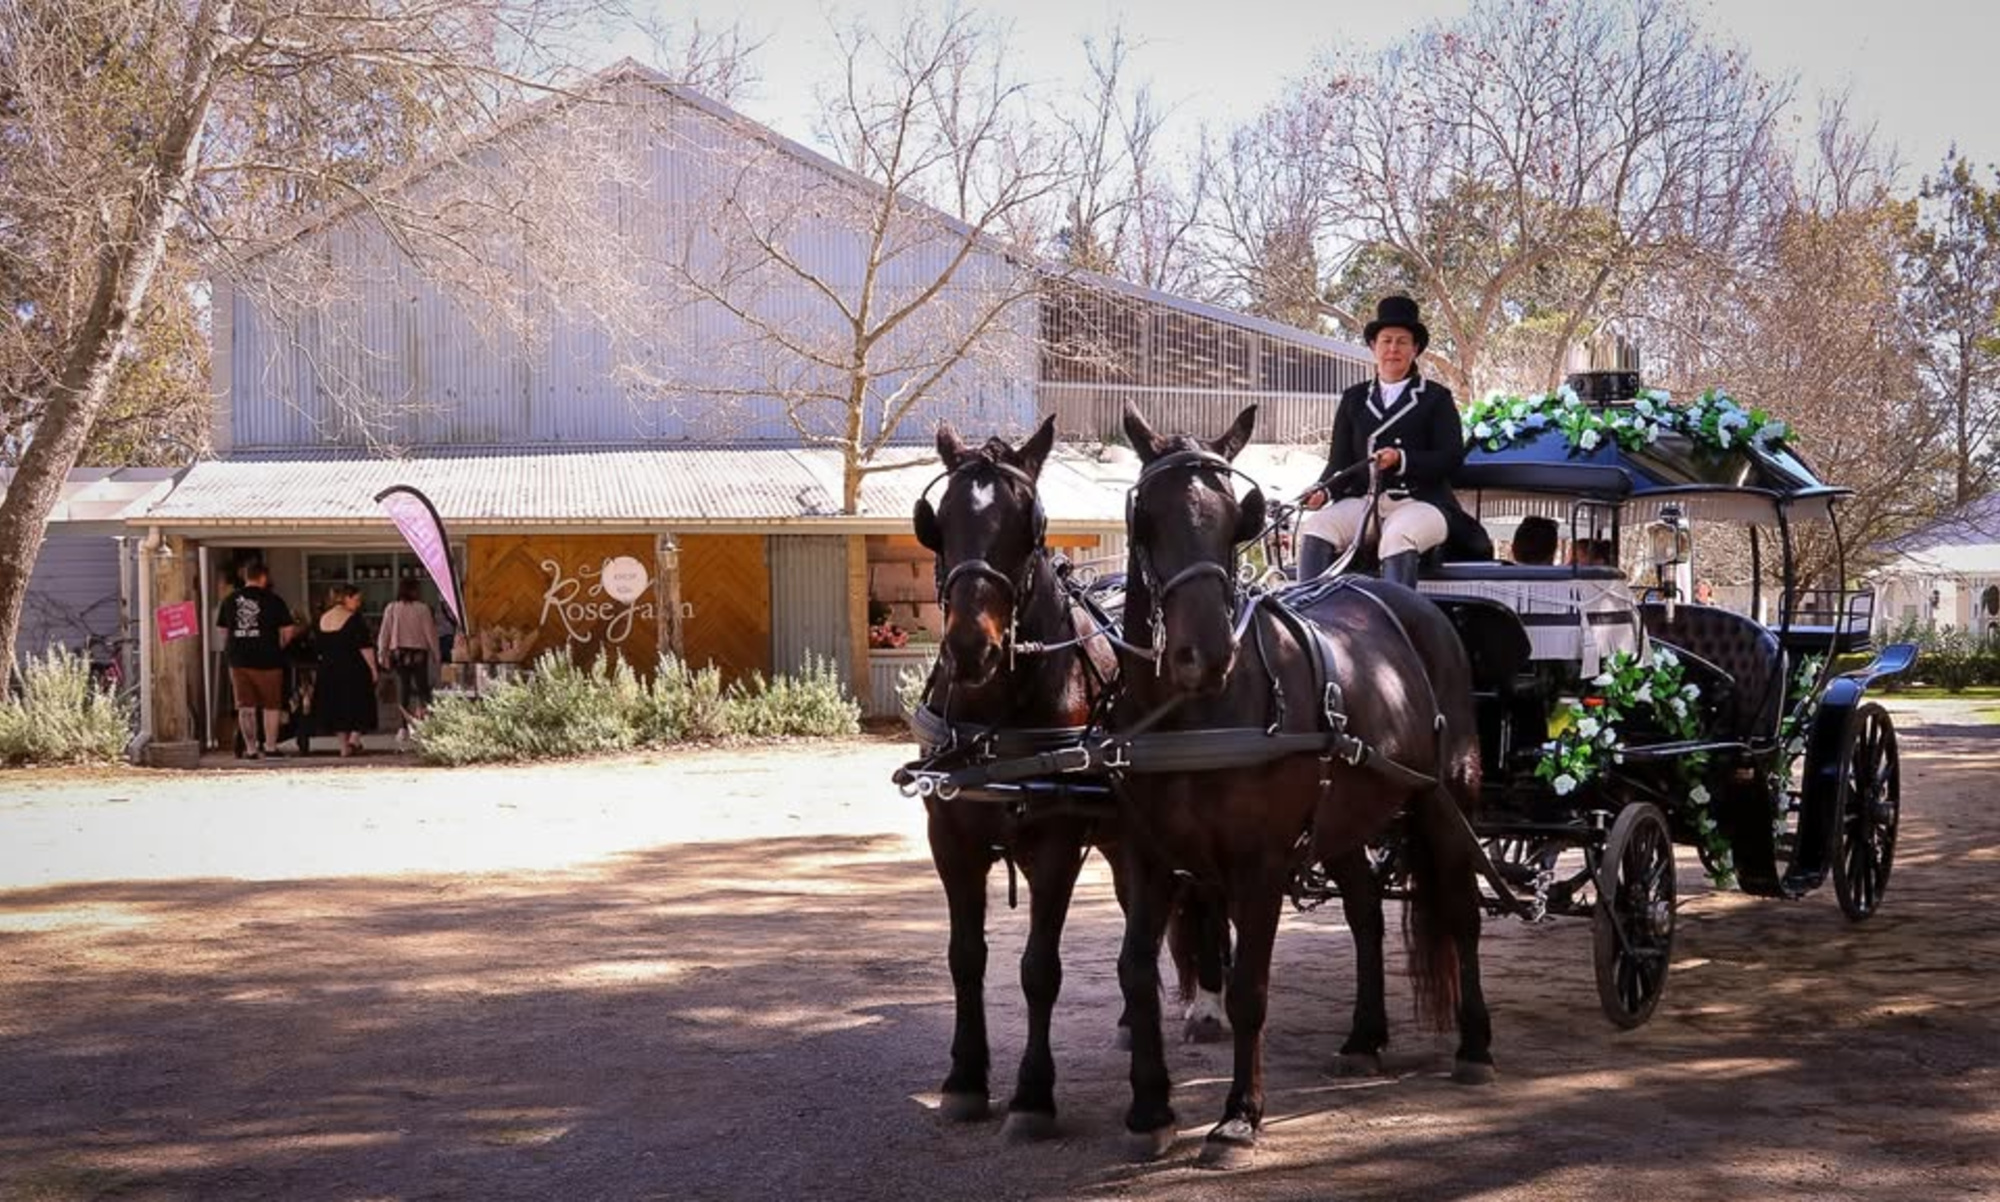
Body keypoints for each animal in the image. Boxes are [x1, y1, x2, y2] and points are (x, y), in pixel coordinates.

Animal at [907, 415, 1230, 1141]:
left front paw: (1032, 1096)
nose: (970, 647)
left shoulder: (1054, 847)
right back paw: (1135, 1019)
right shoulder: (951, 840)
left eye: (1028, 522)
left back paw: (1209, 1005)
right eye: (940, 520)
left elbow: (1038, 969)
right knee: (1146, 911)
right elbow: (964, 957)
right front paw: (965, 1079)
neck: (995, 715)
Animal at [1108, 401, 1495, 1167]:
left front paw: (1238, 1116)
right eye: (1146, 518)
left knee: (1462, 914)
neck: (1196, 714)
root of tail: (1415, 605)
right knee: (1366, 915)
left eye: (1237, 519)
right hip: (1348, 817)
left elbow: (1250, 989)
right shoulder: (1147, 857)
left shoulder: (1257, 866)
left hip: (1445, 802)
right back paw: (1365, 1036)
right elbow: (1137, 972)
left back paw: (1474, 1045)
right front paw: (1149, 1109)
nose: (1204, 655)